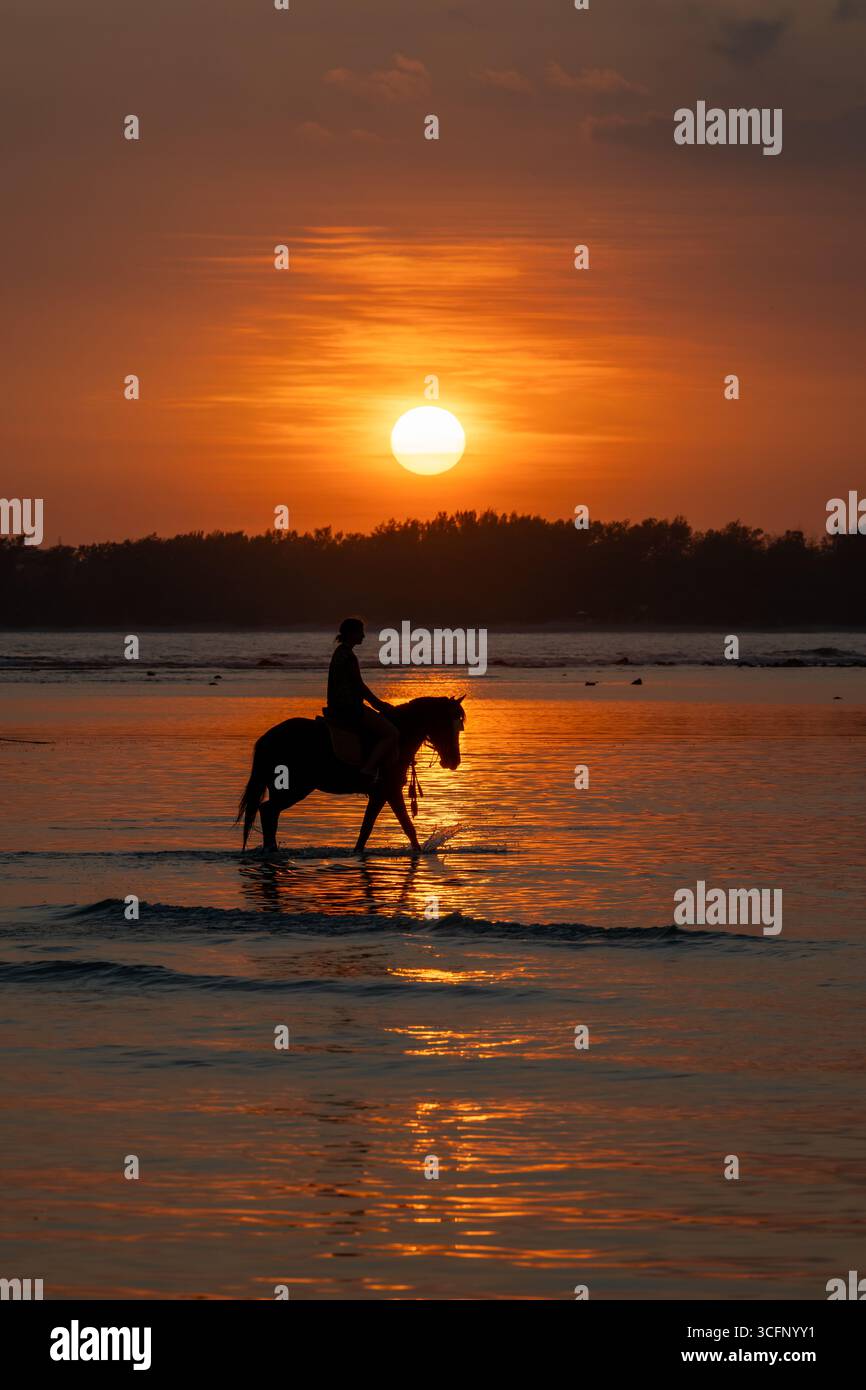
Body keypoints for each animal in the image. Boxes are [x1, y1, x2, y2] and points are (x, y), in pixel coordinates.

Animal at [236, 695, 465, 854]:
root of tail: (268, 737)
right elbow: (406, 827)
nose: (454, 761)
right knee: (268, 811)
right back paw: (271, 851)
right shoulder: (389, 791)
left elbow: (367, 829)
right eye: (447, 724)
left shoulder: (380, 794)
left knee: (270, 813)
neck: (400, 735)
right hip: (294, 788)